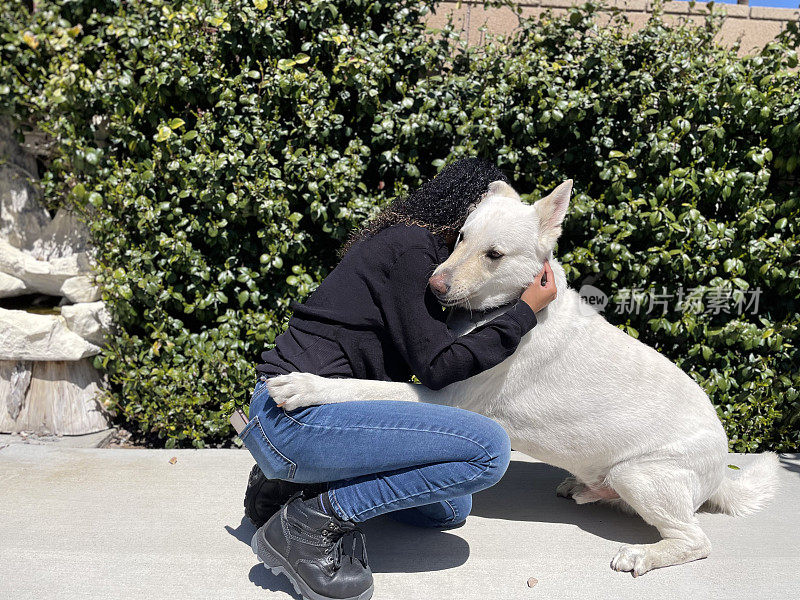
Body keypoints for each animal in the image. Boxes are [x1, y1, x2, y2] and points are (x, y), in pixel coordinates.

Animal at [266, 179, 780, 576]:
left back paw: (642, 554)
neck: (505, 307)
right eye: (460, 238)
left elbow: (365, 386)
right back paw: (585, 489)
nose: (433, 286)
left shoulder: (444, 399)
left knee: (696, 540)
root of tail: (721, 471)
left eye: (494, 254)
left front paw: (303, 385)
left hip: (639, 472)